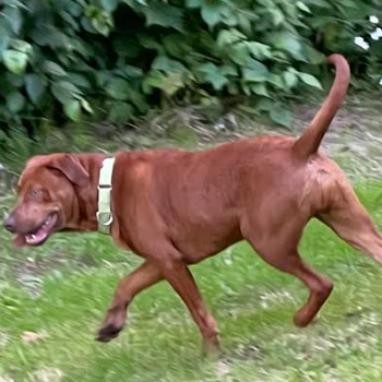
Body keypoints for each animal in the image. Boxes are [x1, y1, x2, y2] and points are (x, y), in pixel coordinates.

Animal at [3, 53, 382, 352]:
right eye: (18, 189)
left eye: (36, 192)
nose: (7, 223)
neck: (106, 185)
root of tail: (299, 148)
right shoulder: (161, 259)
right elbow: (126, 284)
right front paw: (111, 325)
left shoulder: (170, 262)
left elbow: (198, 312)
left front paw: (211, 353)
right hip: (350, 223)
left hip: (269, 243)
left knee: (322, 283)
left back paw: (301, 319)